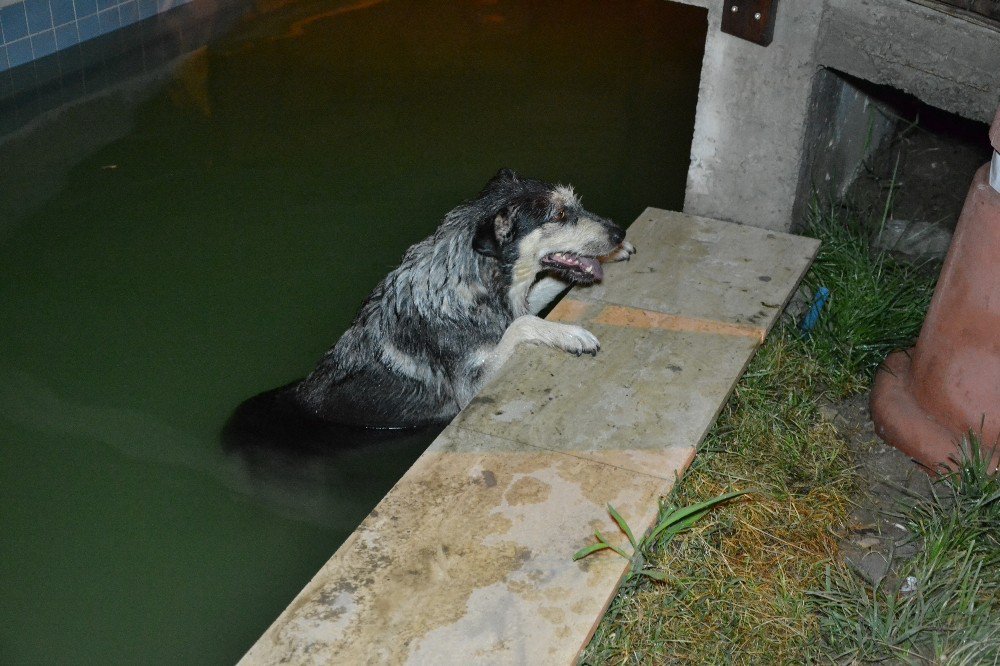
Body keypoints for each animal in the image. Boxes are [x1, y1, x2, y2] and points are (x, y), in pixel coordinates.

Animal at [224, 167, 636, 446]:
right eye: (559, 215)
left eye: (574, 205)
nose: (619, 232)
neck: (468, 284)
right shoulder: (471, 388)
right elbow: (520, 326)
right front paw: (571, 335)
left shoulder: (517, 300)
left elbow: (541, 290)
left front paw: (614, 254)